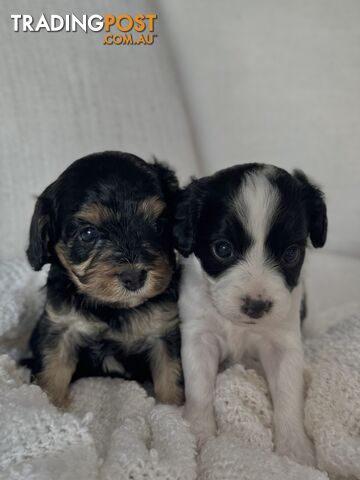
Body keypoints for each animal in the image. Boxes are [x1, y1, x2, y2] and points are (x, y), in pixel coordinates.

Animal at [25, 152, 183, 406]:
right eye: (88, 234)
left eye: (158, 225)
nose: (134, 277)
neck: (111, 308)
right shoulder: (61, 329)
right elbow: (52, 372)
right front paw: (51, 405)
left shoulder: (164, 331)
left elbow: (170, 375)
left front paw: (173, 410)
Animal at [173, 164, 328, 464]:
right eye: (222, 248)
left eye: (291, 254)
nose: (256, 305)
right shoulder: (200, 337)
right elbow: (198, 388)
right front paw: (198, 433)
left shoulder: (283, 342)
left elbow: (288, 393)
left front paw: (295, 449)